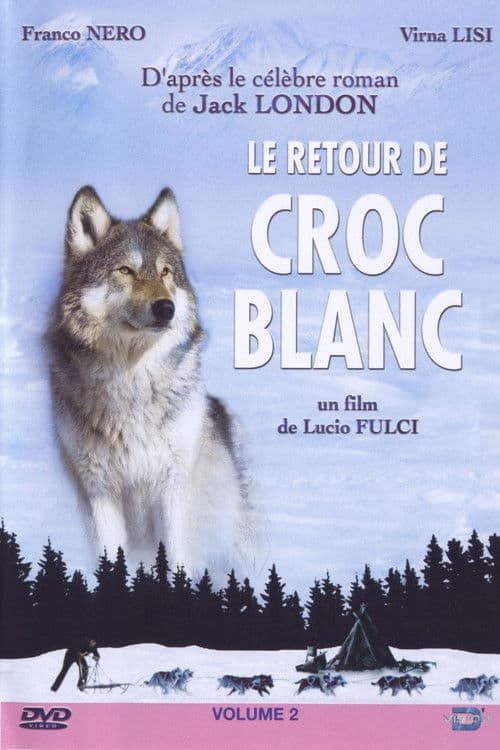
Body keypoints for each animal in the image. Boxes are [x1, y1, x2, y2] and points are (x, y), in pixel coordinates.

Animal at [46, 186, 257, 578]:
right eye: (125, 270)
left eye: (165, 272)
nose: (165, 308)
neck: (131, 383)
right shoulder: (99, 492)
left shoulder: (171, 488)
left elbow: (176, 559)